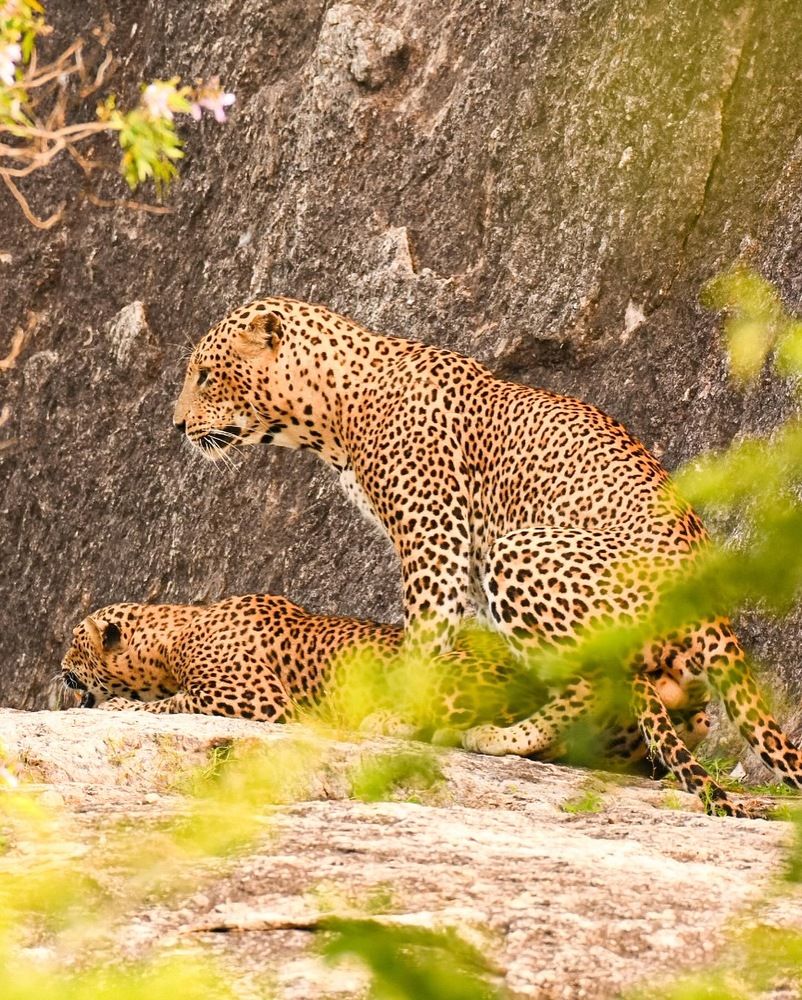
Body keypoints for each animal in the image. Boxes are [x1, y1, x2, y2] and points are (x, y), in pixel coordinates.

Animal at [172, 295, 802, 817]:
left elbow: (426, 639)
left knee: (591, 681)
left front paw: (400, 715)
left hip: (516, 549)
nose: (176, 425)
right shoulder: (460, 559)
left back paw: (503, 738)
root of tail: (716, 614)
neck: (332, 413)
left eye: (205, 375)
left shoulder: (434, 540)